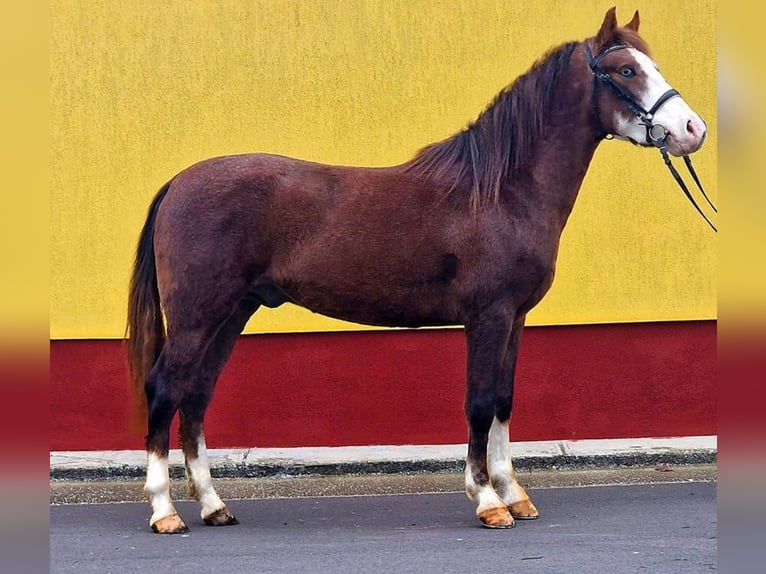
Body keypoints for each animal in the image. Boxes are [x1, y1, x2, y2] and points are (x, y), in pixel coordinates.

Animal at [127, 7, 709, 533]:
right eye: (627, 70)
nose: (692, 129)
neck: (501, 191)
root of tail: (178, 183)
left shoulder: (515, 318)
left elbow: (503, 401)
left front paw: (514, 494)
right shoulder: (488, 316)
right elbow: (479, 404)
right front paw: (487, 502)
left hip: (232, 313)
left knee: (196, 396)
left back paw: (213, 506)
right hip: (198, 317)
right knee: (165, 389)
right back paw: (164, 512)